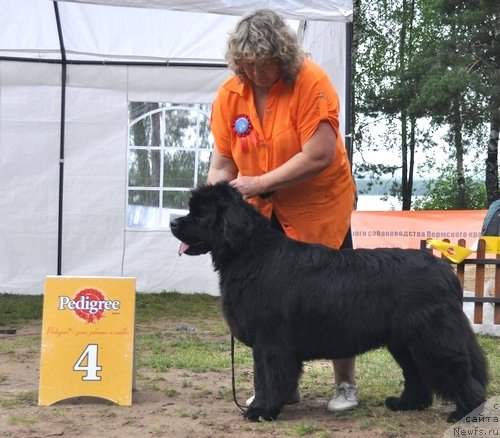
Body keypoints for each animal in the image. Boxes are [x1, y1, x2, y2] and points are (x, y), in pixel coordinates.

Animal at [171, 182, 488, 424]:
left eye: (199, 214)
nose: (173, 222)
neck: (250, 254)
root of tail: (444, 269)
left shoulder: (270, 341)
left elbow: (268, 377)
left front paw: (262, 410)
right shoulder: (268, 344)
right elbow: (266, 378)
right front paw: (266, 406)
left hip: (431, 338)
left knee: (456, 371)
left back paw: (465, 413)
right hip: (404, 340)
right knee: (417, 374)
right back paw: (405, 403)